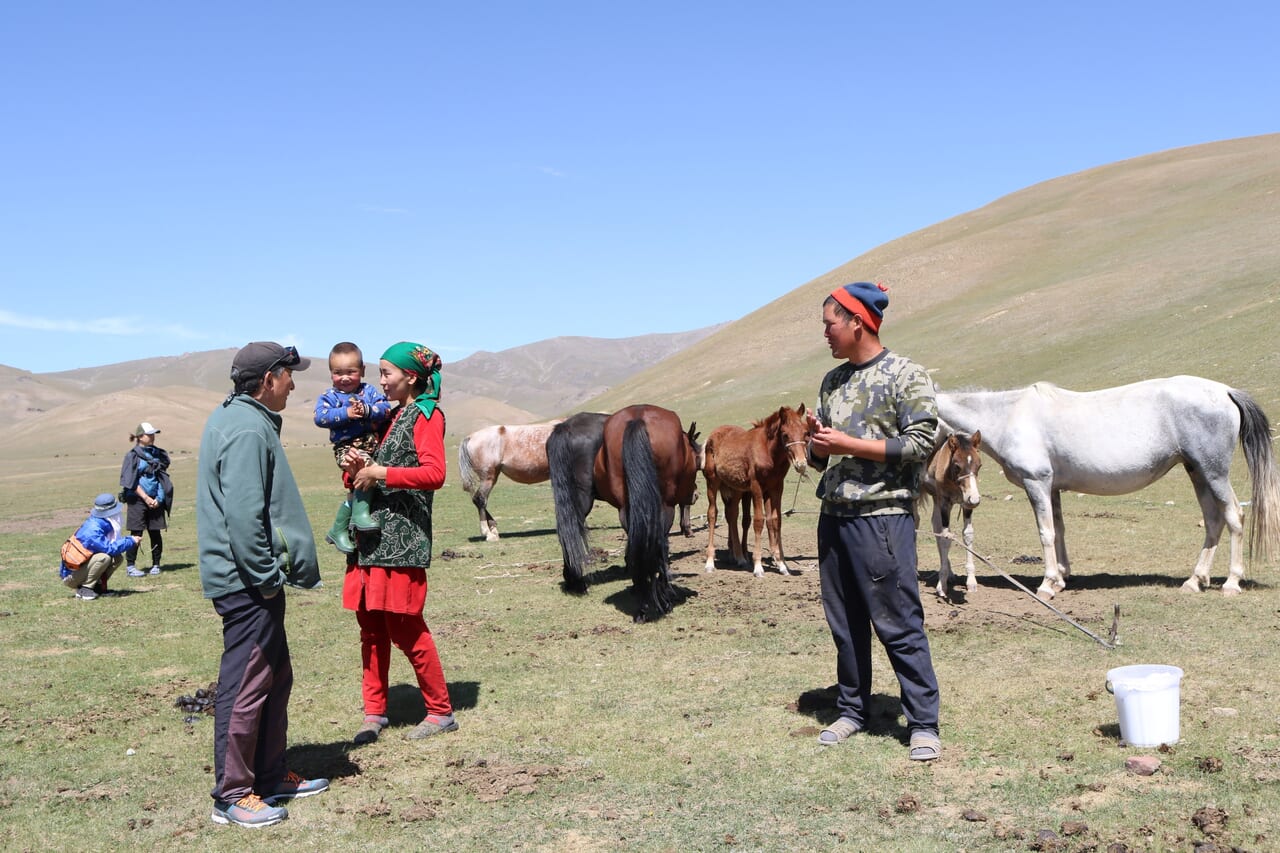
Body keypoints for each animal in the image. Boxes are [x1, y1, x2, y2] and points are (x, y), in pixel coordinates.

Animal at [701, 404, 808, 578]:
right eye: (785, 435)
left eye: (806, 432)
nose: (801, 464)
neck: (768, 452)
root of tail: (712, 435)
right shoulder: (756, 487)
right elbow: (759, 521)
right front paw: (758, 567)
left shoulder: (776, 487)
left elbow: (775, 520)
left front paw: (782, 565)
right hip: (712, 482)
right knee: (712, 514)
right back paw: (710, 562)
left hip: (735, 488)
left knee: (732, 515)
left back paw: (740, 558)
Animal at [916, 427, 983, 601]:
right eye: (957, 466)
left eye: (979, 465)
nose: (975, 499)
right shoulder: (945, 503)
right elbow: (946, 538)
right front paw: (942, 586)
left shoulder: (965, 504)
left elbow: (967, 534)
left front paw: (971, 581)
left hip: (937, 499)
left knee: (936, 527)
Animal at [931, 376, 1280, 594]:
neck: (1009, 416)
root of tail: (1225, 391)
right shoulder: (1053, 488)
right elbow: (1059, 529)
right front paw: (1061, 577)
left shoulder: (1037, 484)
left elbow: (1046, 532)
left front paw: (1047, 584)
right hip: (1198, 472)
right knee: (1213, 521)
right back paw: (1195, 580)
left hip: (1214, 473)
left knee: (1234, 517)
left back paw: (1231, 582)